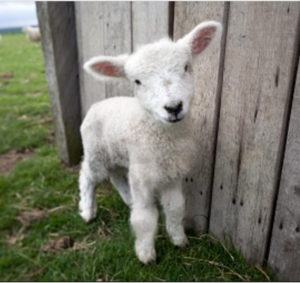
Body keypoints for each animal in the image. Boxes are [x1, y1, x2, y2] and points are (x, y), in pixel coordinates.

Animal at [78, 21, 221, 266]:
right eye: (137, 81)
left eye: (186, 67)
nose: (173, 107)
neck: (164, 139)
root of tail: (97, 104)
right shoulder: (143, 178)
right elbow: (145, 218)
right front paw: (146, 255)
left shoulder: (172, 175)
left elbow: (175, 208)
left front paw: (179, 240)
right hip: (96, 152)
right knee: (87, 176)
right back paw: (88, 210)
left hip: (120, 156)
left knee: (116, 177)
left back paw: (127, 200)